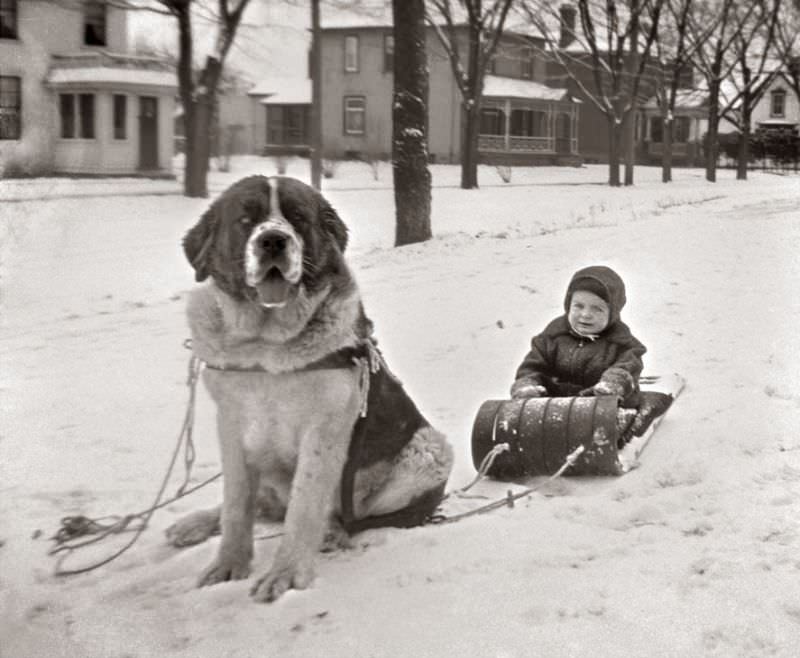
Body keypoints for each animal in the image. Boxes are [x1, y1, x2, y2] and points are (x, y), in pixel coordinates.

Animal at [169, 174, 454, 600]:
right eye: (246, 219)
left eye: (298, 218)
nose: (273, 240)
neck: (266, 347)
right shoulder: (232, 426)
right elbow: (236, 503)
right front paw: (228, 564)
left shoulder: (324, 430)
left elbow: (303, 506)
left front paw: (286, 573)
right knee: (261, 505)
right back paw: (193, 524)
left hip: (429, 449)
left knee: (357, 516)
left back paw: (334, 532)